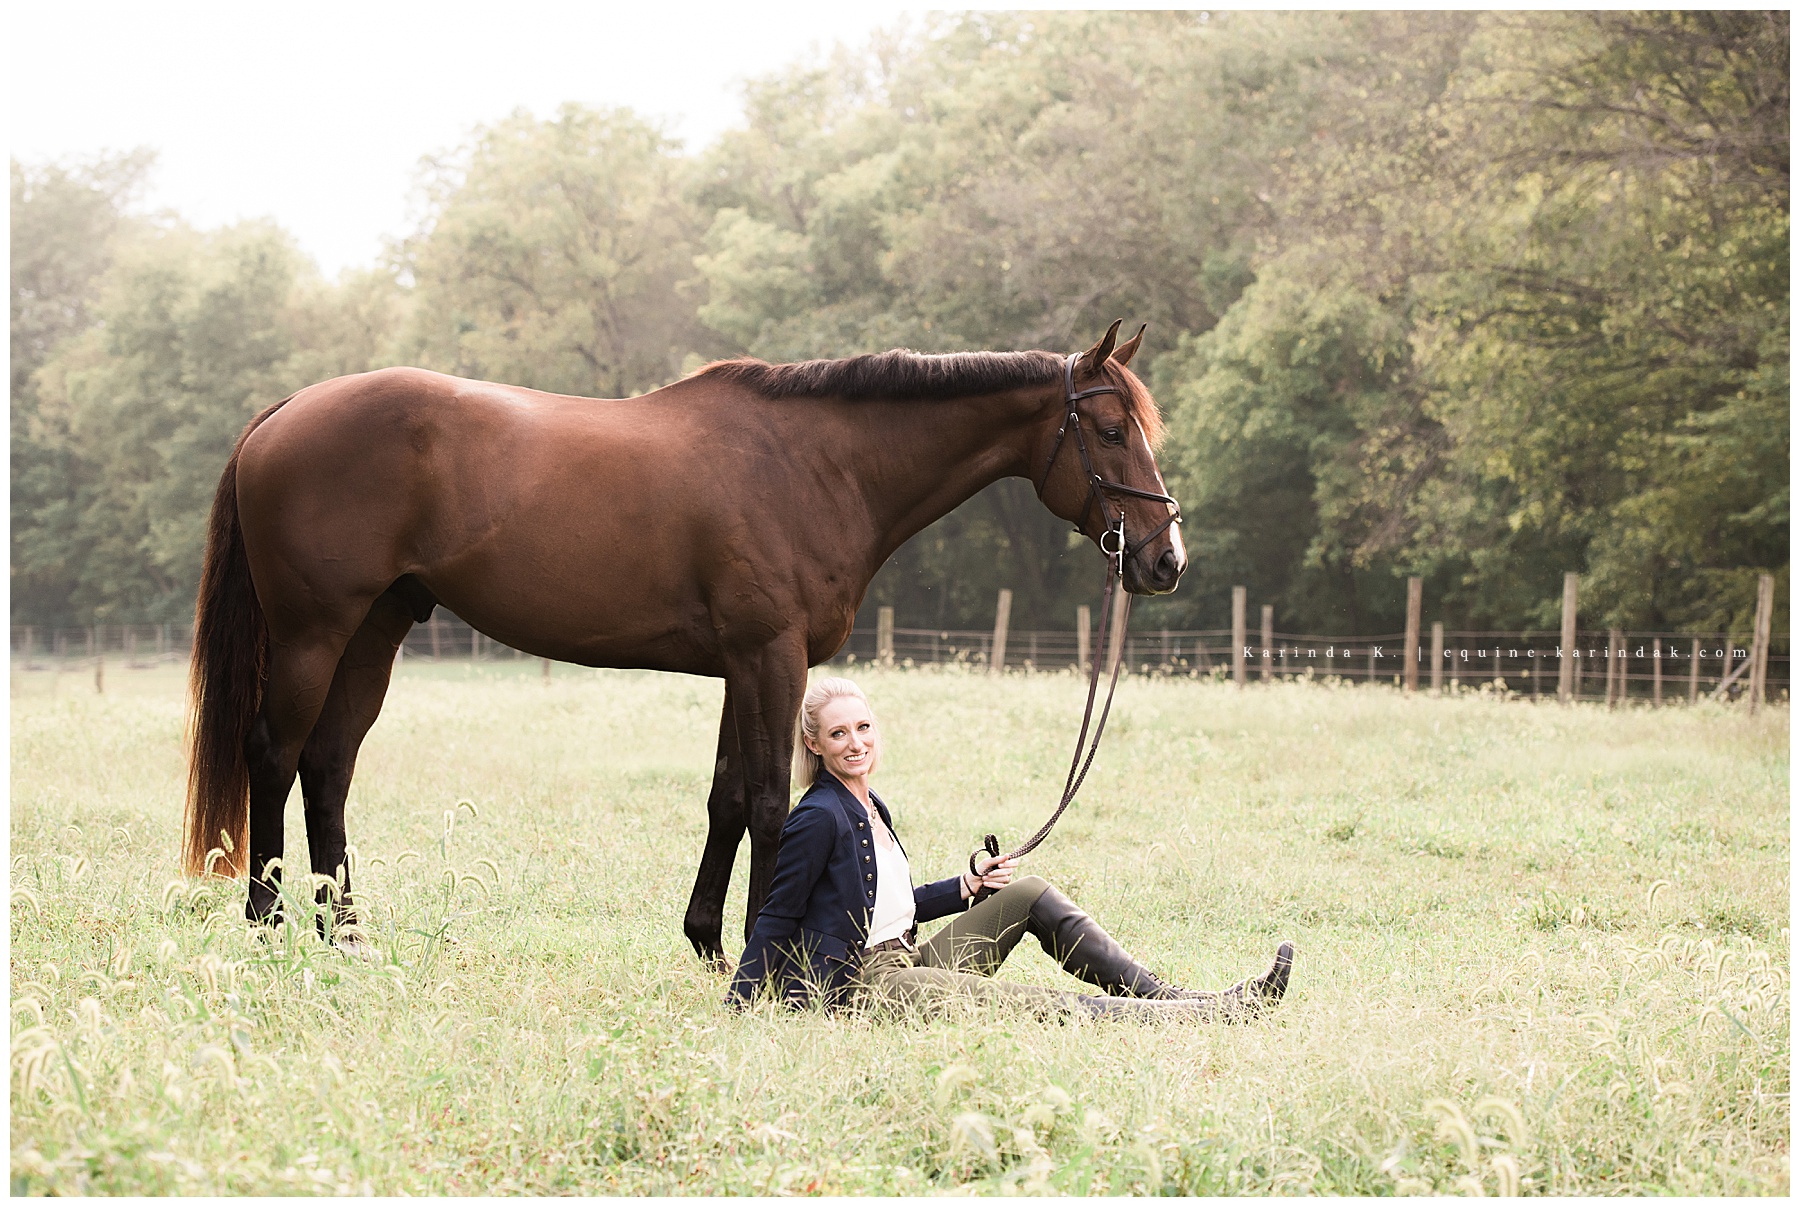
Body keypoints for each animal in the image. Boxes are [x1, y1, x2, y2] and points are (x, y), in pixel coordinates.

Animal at [181, 320, 1186, 961]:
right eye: (1108, 428)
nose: (1165, 558)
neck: (816, 464)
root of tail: (282, 413)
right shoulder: (773, 655)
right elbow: (774, 802)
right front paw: (762, 954)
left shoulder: (743, 664)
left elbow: (727, 797)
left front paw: (705, 939)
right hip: (315, 631)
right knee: (275, 753)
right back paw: (267, 924)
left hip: (377, 628)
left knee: (330, 763)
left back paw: (344, 932)